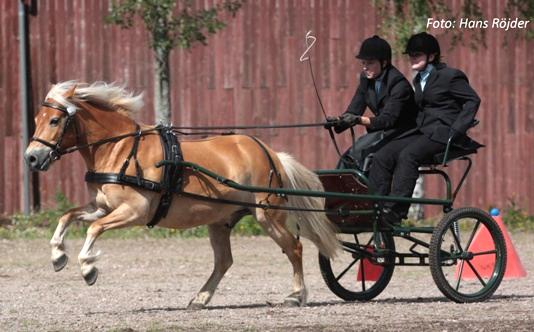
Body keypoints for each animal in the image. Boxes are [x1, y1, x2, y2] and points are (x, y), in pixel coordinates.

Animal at [24, 81, 340, 308]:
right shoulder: (101, 206)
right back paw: (200, 298)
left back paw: (295, 295)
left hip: (268, 215)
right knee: (224, 261)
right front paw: (58, 255)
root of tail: (270, 153)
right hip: (220, 220)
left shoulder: (134, 211)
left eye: (54, 121)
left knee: (294, 248)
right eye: (37, 117)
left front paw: (88, 268)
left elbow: (94, 228)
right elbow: (68, 217)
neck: (120, 149)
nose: (31, 158)